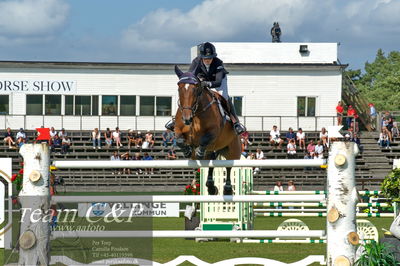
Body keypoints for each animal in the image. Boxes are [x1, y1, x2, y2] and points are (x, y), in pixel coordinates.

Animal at [173, 65, 241, 195]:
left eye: (196, 89)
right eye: (179, 88)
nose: (187, 118)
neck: (196, 114)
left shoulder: (214, 132)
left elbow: (204, 140)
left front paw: (199, 152)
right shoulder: (178, 129)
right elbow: (179, 140)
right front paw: (187, 151)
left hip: (234, 149)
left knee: (229, 166)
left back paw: (227, 189)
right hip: (214, 150)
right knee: (211, 162)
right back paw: (210, 186)